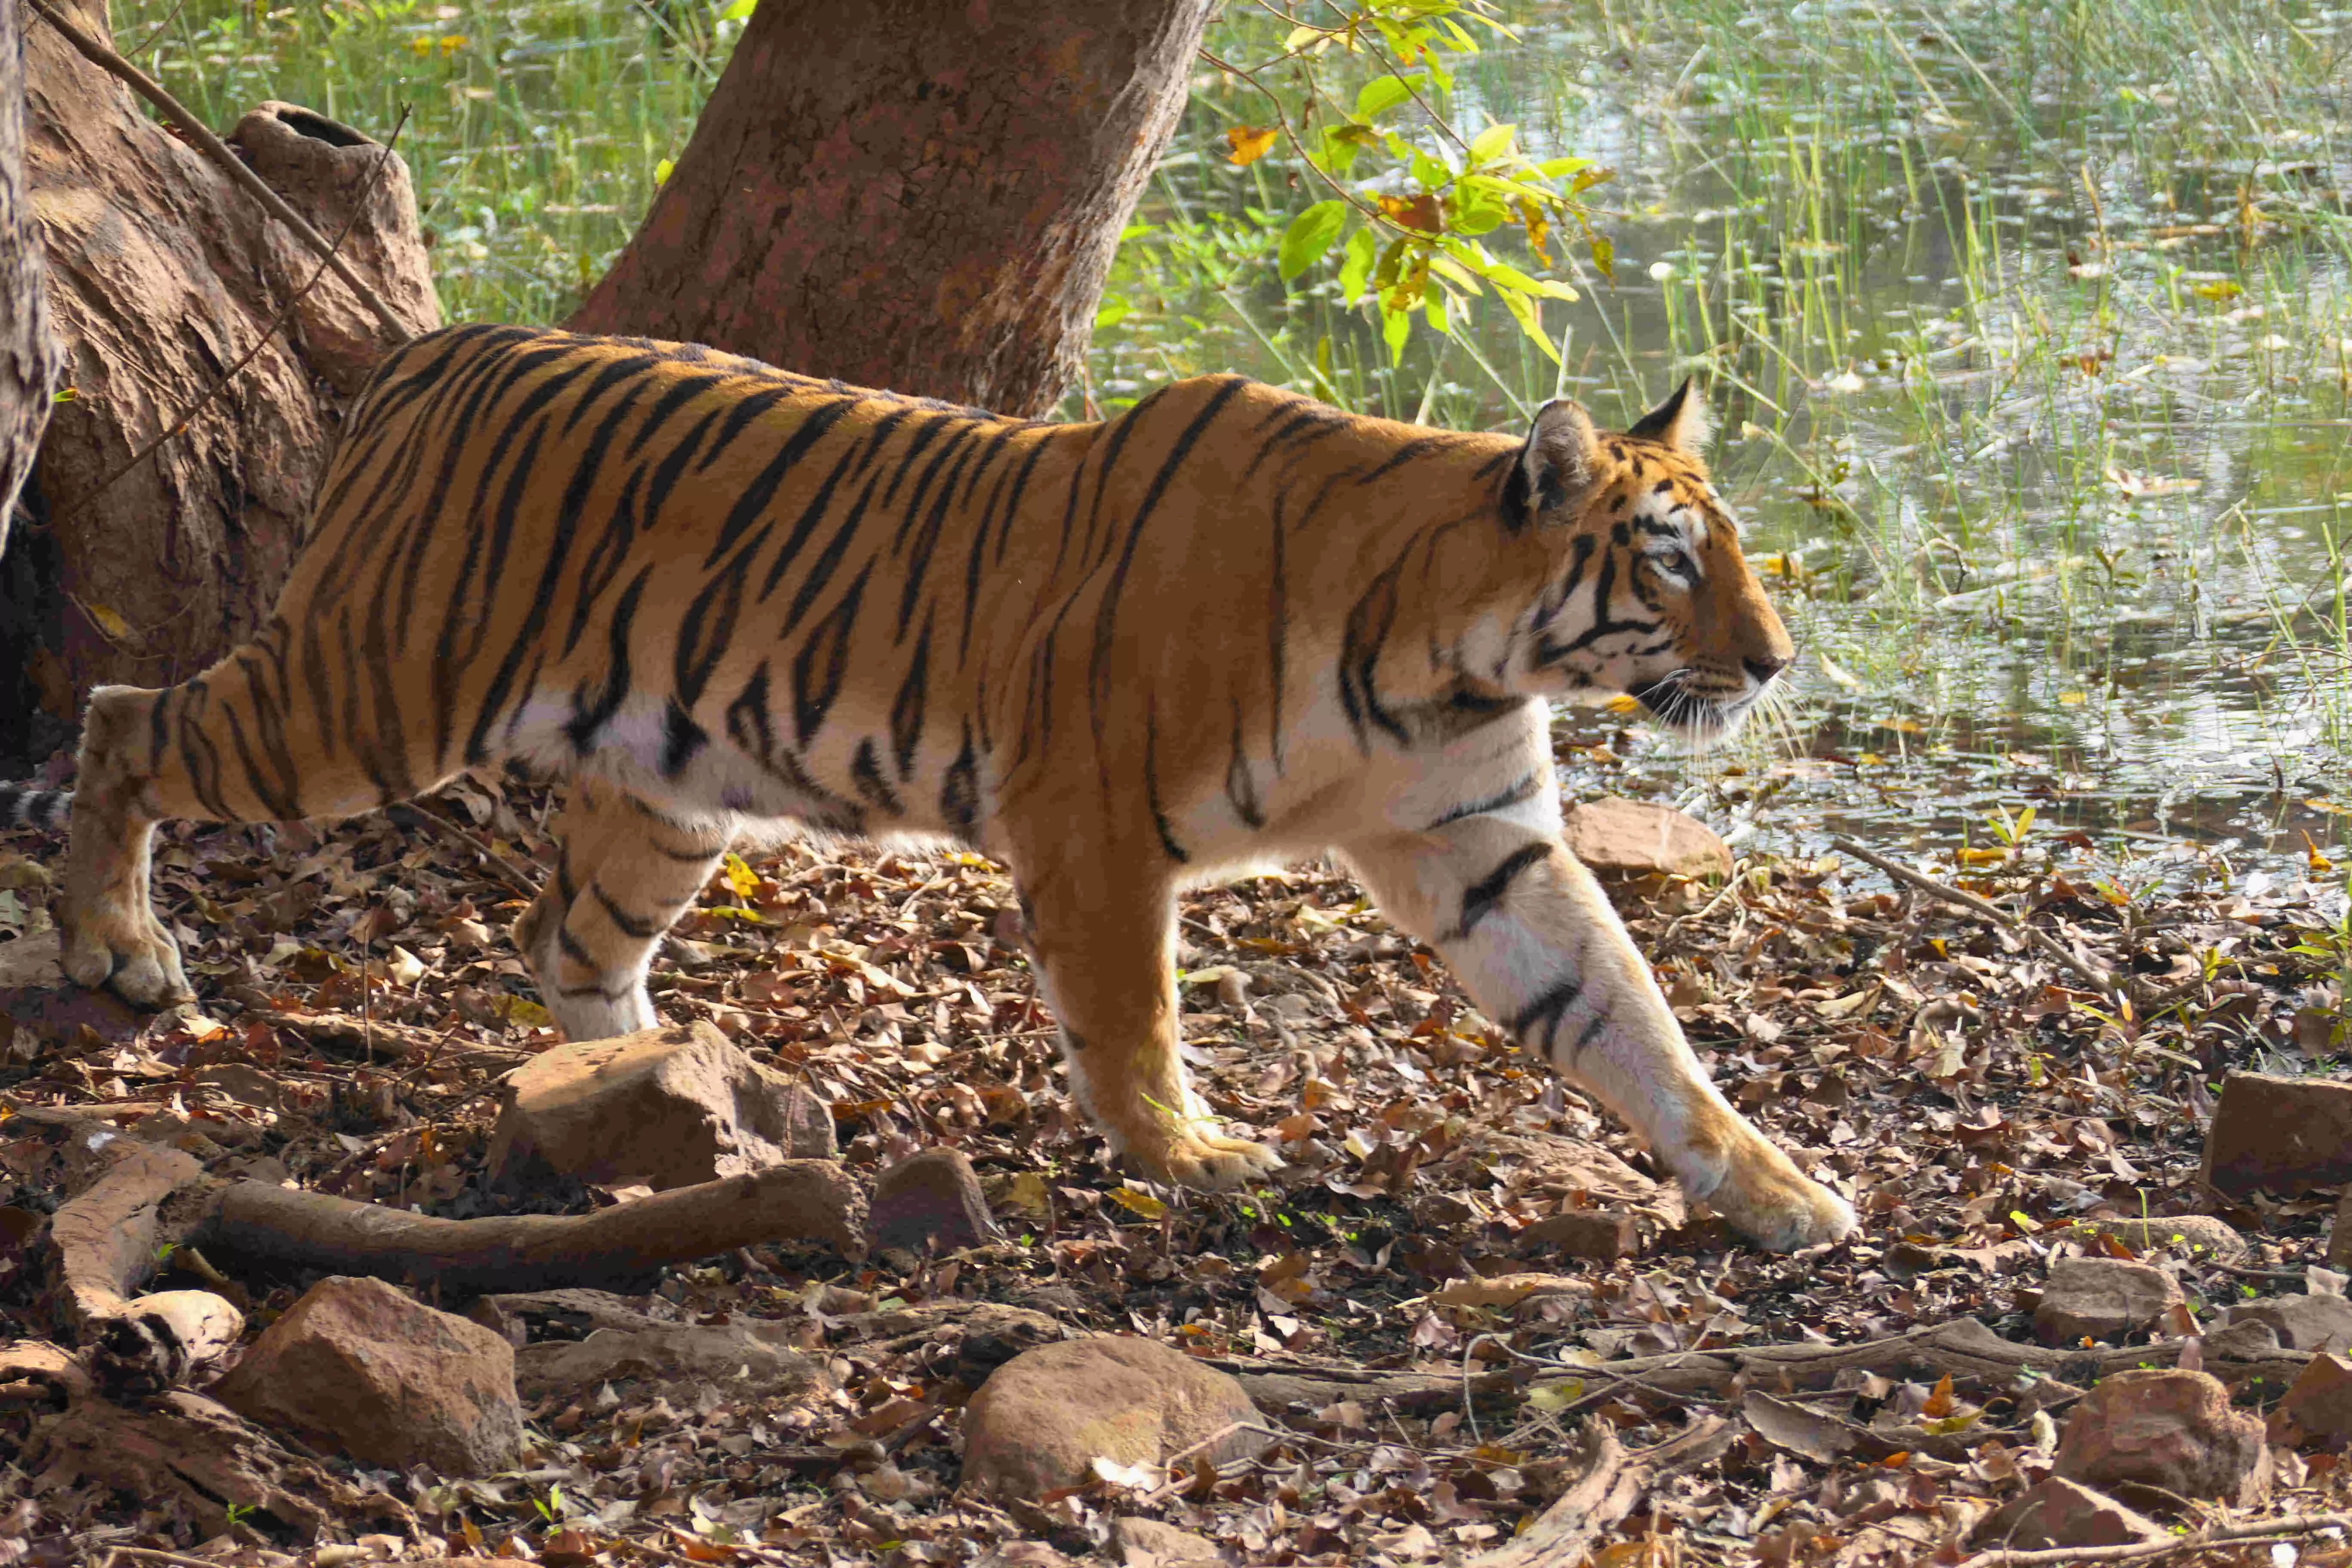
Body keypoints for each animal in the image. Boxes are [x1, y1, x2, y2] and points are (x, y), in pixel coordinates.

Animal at [4, 322, 1853, 1250]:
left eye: (1728, 549)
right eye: (1671, 559)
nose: (1774, 662)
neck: (1458, 655)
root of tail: (429, 349)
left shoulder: (1482, 844)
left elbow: (1625, 1016)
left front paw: (1776, 1192)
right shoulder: (1093, 818)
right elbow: (1133, 1016)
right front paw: (1190, 1156)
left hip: (669, 795)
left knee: (571, 950)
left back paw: (664, 1094)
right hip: (368, 696)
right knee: (124, 720)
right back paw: (118, 947)